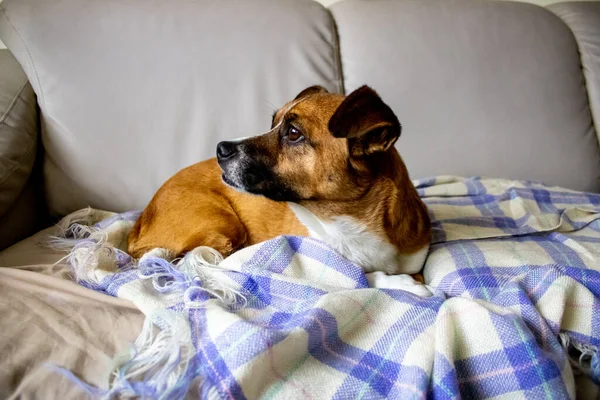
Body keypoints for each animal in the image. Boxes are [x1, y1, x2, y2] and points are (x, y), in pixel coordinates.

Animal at [126, 85, 428, 276]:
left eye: (293, 133)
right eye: (272, 123)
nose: (220, 148)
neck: (352, 222)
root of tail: (140, 224)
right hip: (222, 225)